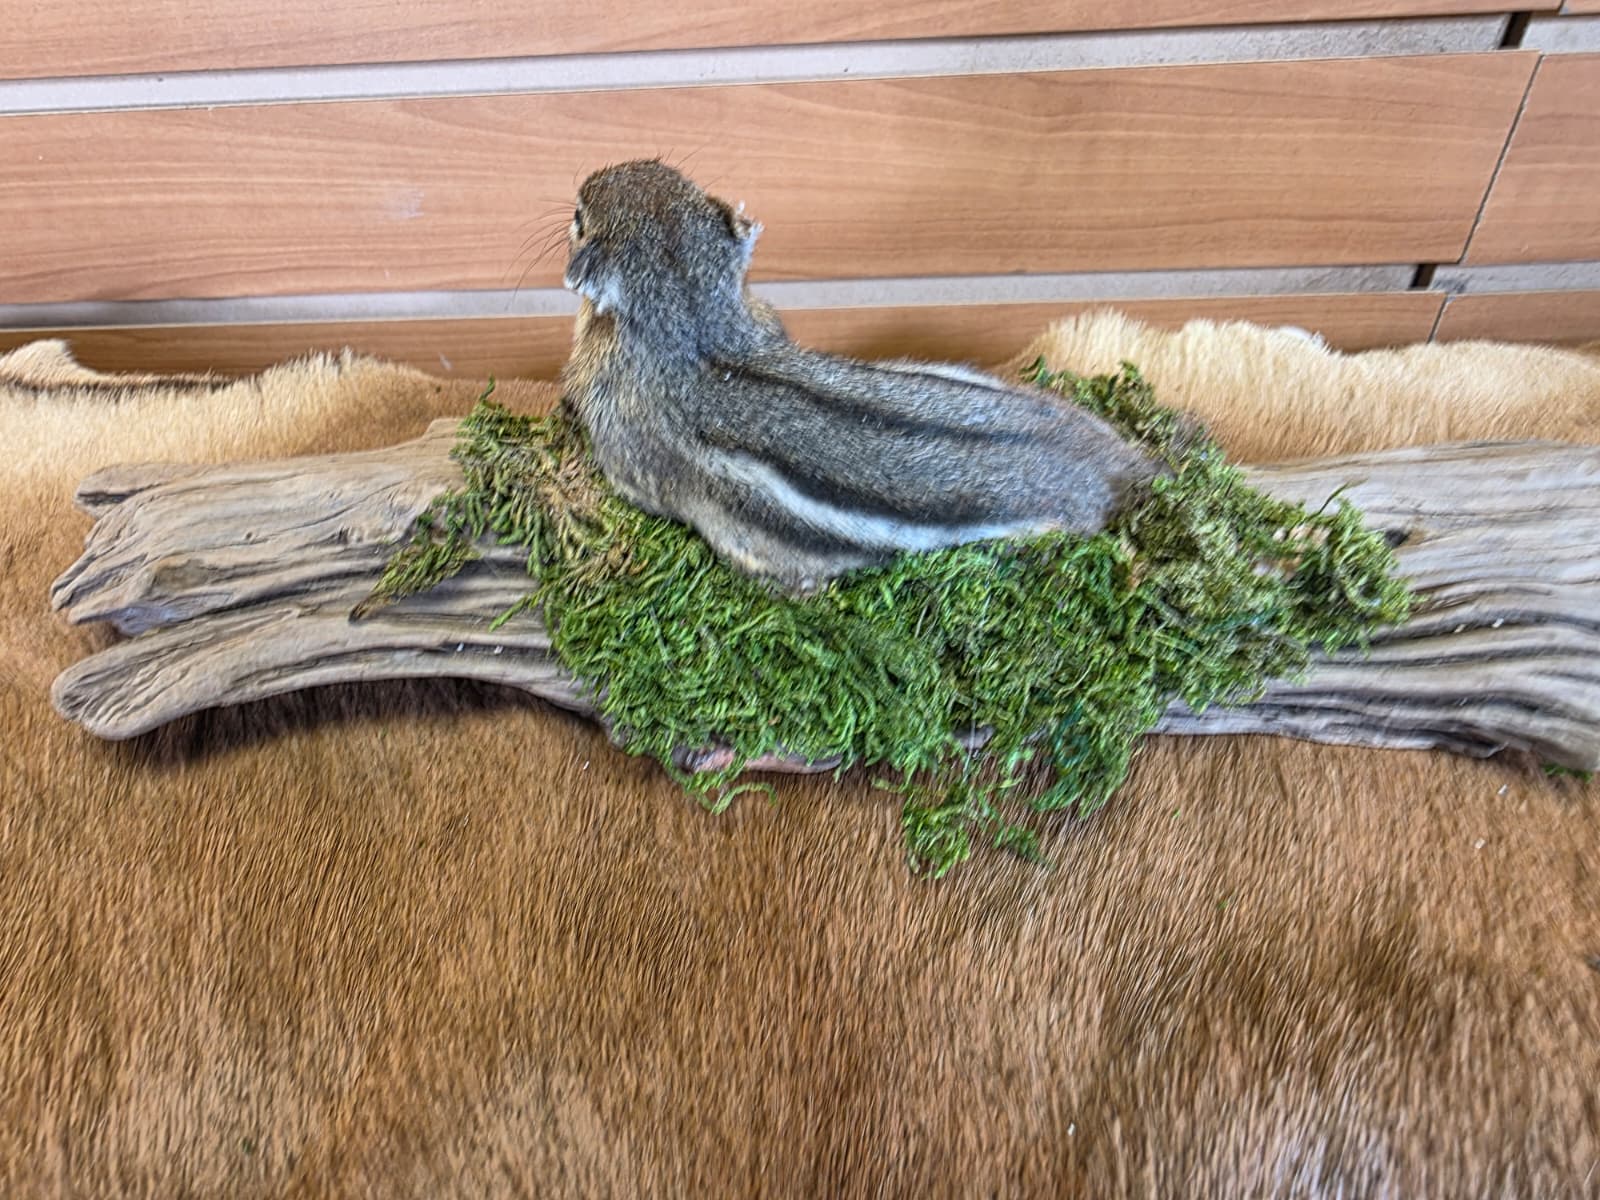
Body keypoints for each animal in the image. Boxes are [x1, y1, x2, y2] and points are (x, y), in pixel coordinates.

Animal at [560, 159, 1157, 591]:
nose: (590, 177)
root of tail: (1108, 461)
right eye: (677, 176)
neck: (701, 331)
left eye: (580, 217)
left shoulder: (625, 444)